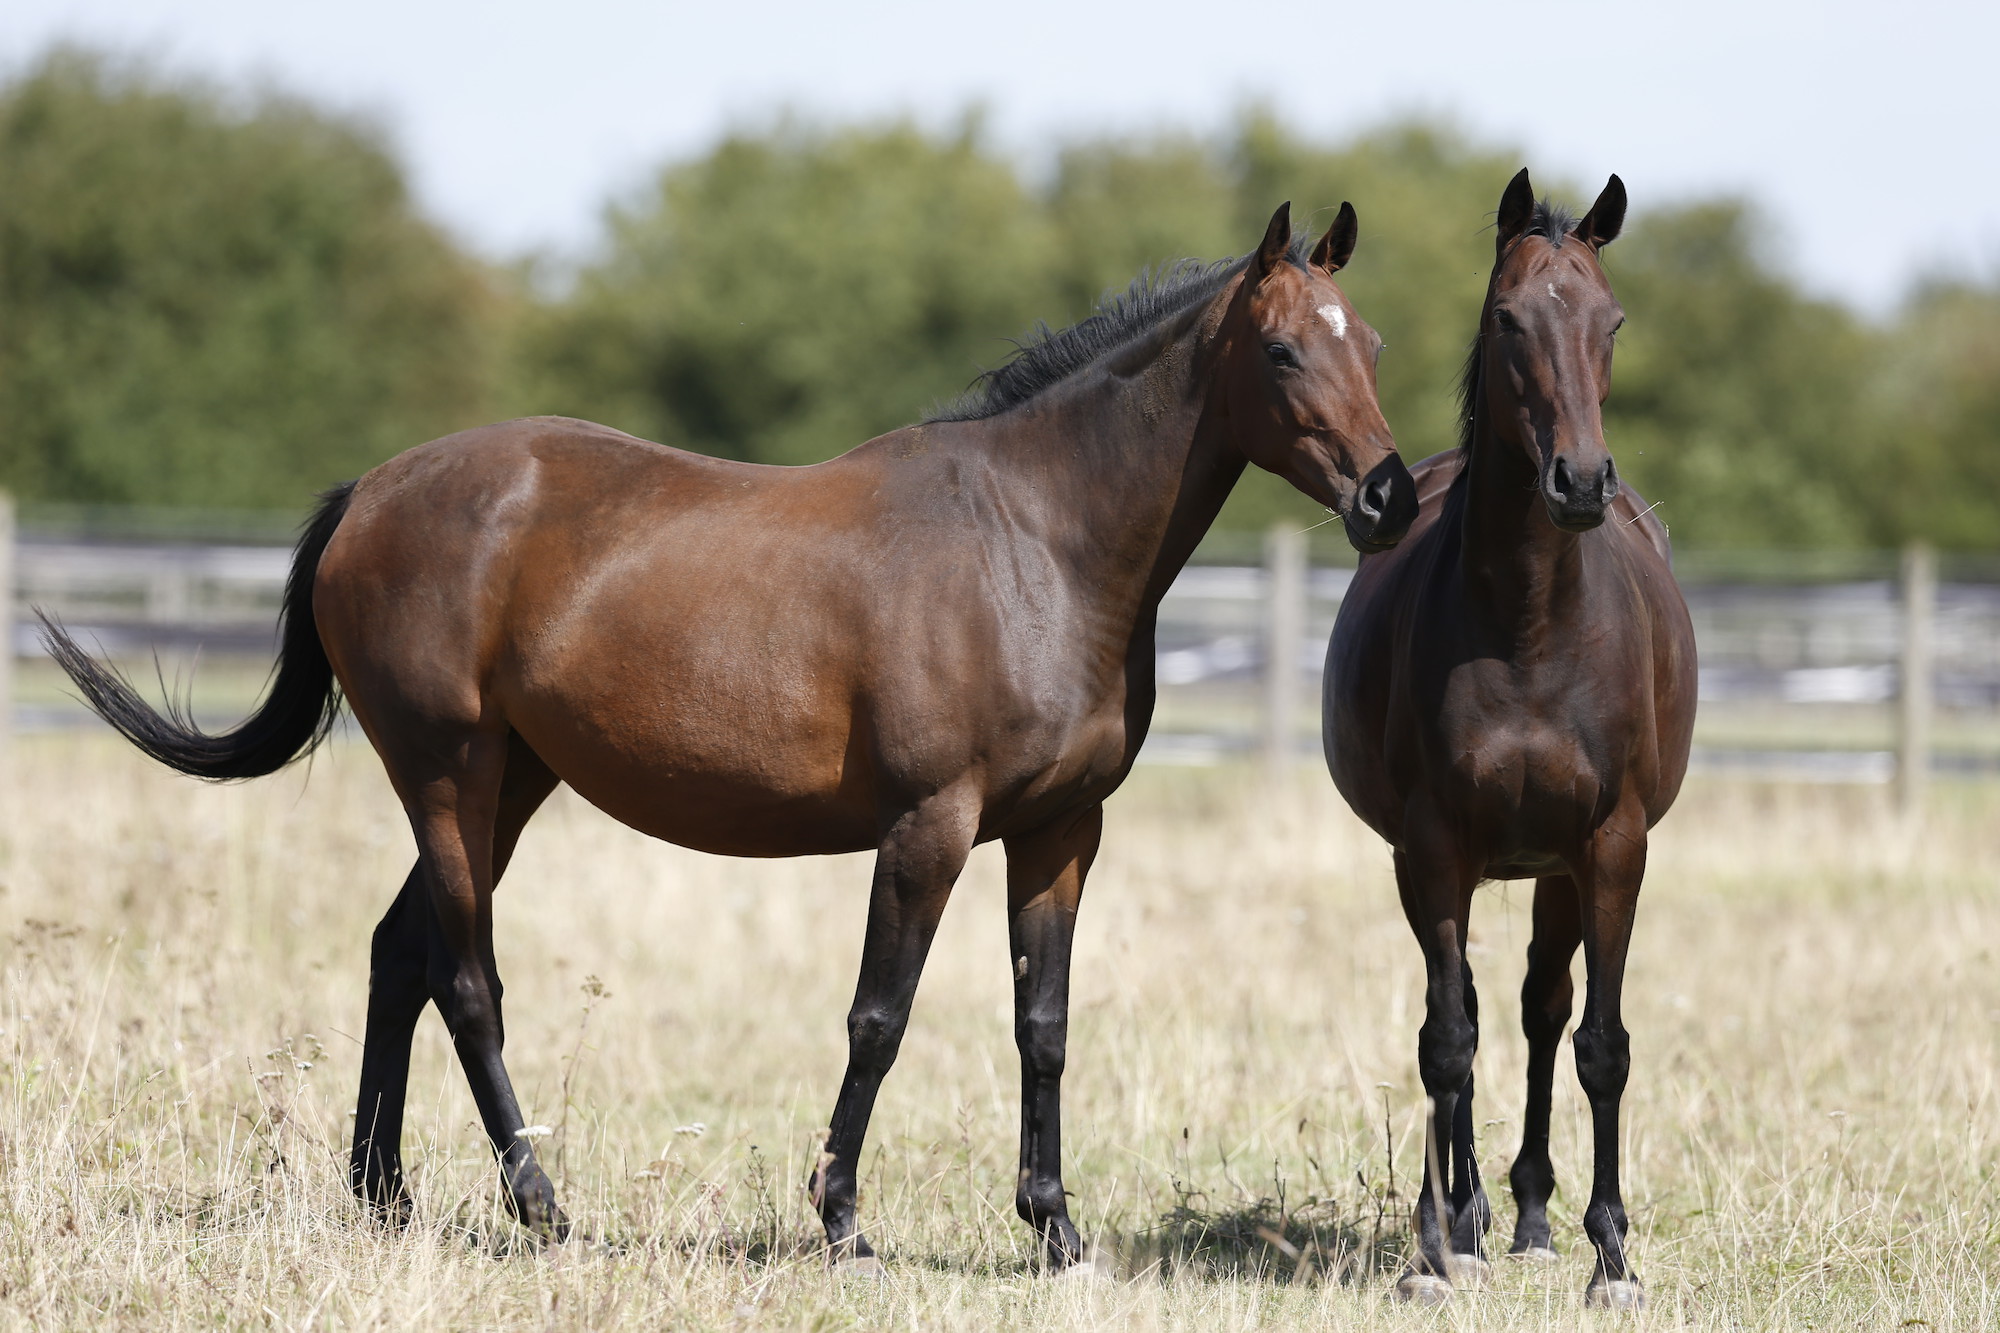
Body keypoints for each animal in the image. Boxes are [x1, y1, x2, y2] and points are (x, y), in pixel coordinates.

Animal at [50, 202, 1424, 1272]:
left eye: (1369, 344)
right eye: (1282, 350)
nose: (1388, 498)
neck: (1032, 541)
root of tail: (370, 493)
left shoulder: (1058, 830)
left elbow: (1043, 1022)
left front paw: (1054, 1228)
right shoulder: (929, 825)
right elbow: (879, 1014)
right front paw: (842, 1222)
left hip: (512, 782)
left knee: (402, 952)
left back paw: (384, 1195)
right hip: (448, 773)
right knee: (464, 976)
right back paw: (541, 1207)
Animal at [1328, 171, 1688, 1304]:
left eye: (1610, 320)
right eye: (1505, 319)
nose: (1578, 481)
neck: (1531, 623)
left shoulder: (1612, 845)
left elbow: (1599, 1041)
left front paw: (1611, 1253)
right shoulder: (1432, 846)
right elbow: (1447, 1038)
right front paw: (1436, 1248)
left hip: (1557, 867)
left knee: (1540, 1007)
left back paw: (1531, 1214)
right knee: (1483, 1014)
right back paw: (1476, 1215)